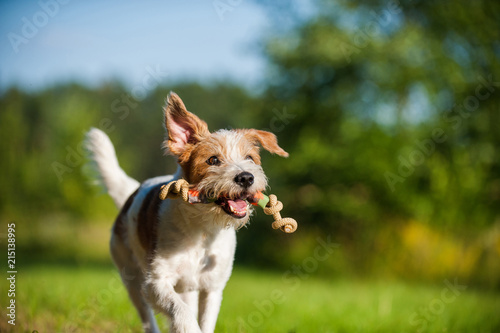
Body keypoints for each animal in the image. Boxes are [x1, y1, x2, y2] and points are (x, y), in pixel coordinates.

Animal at [85, 92, 290, 332]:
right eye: (213, 160)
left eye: (250, 158)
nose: (246, 177)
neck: (203, 229)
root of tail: (132, 193)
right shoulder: (157, 282)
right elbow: (181, 313)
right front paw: (187, 326)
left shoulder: (213, 288)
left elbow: (205, 322)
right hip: (132, 279)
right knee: (147, 317)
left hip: (188, 287)